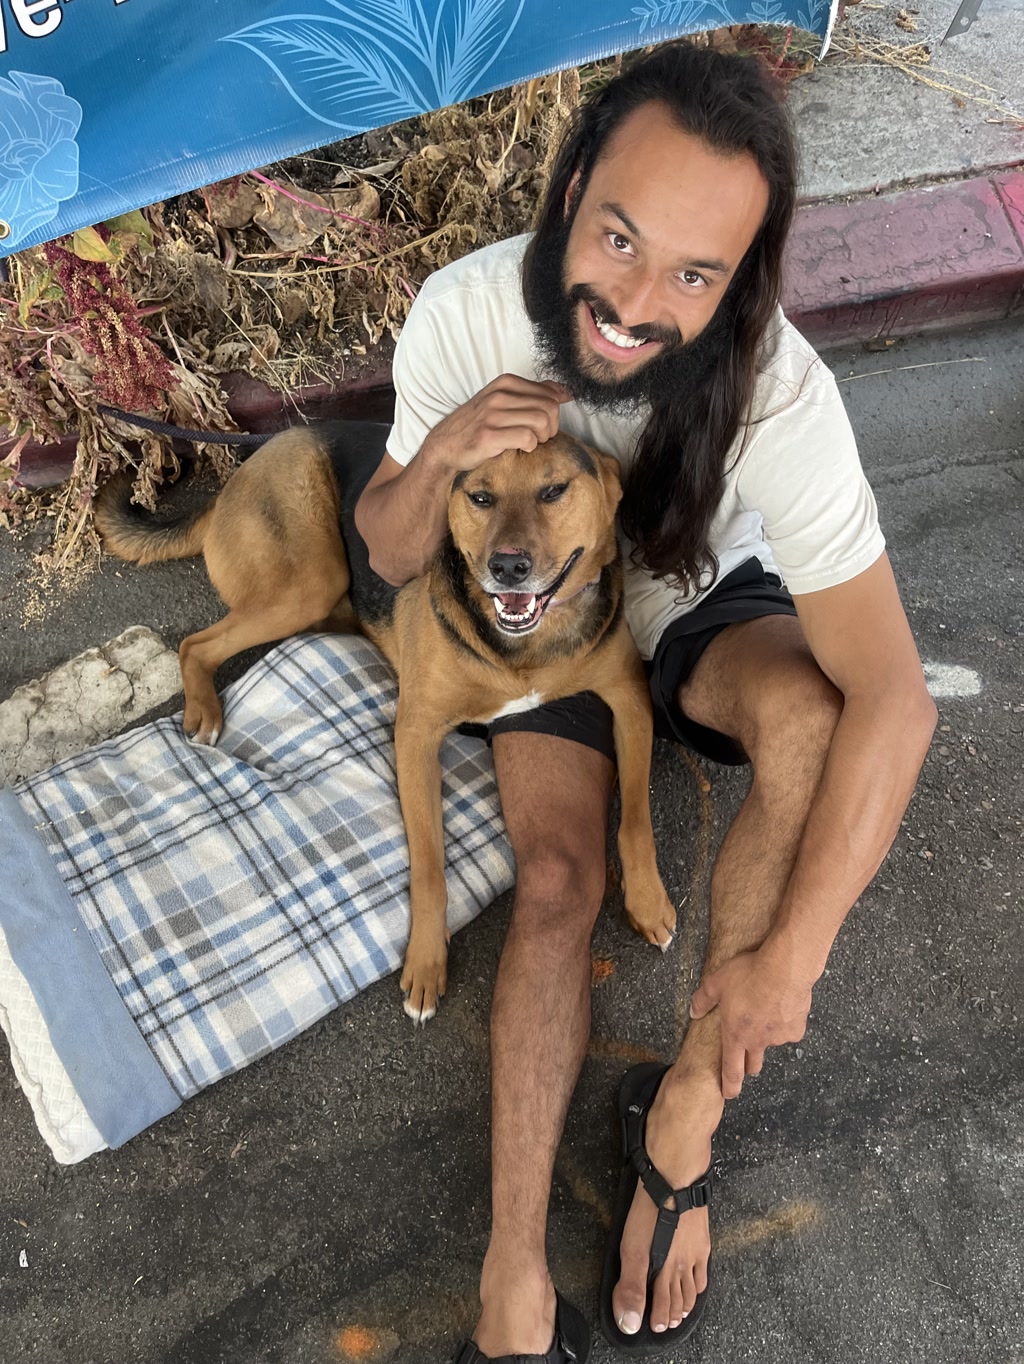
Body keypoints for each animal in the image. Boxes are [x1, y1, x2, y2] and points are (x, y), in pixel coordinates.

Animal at [94, 425, 673, 1025]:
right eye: (480, 497)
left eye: (555, 490)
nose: (507, 567)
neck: (525, 645)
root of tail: (256, 456)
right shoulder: (416, 734)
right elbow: (430, 868)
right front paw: (426, 962)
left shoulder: (631, 696)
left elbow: (636, 818)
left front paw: (648, 898)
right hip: (311, 580)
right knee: (195, 644)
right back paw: (205, 712)